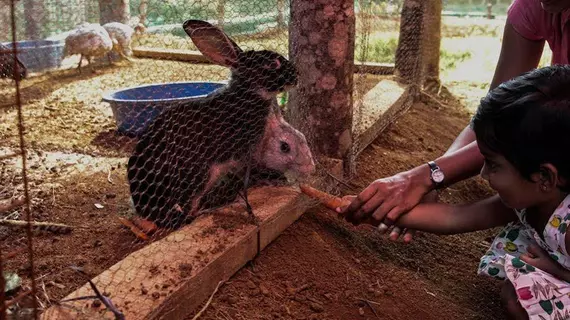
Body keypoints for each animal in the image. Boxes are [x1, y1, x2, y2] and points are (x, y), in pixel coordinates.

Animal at [126, 19, 300, 230]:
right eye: (272, 64)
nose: (297, 75)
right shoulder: (242, 154)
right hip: (198, 177)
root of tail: (145, 209)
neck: (247, 95)